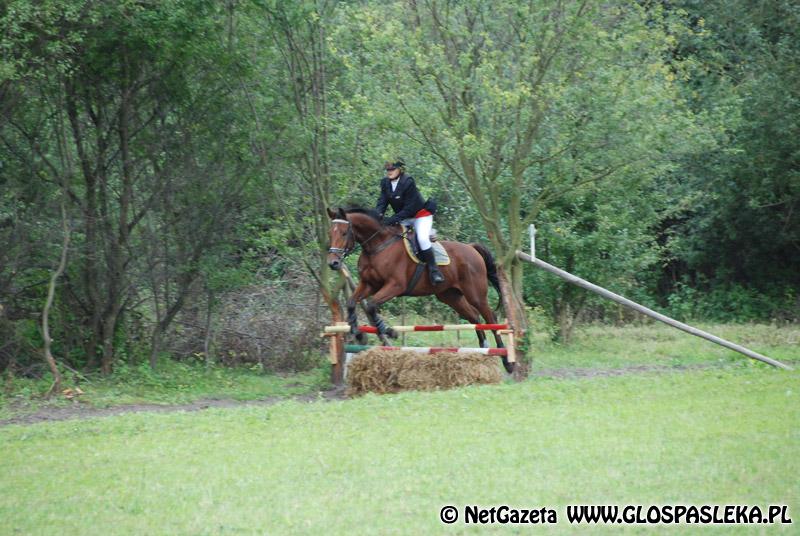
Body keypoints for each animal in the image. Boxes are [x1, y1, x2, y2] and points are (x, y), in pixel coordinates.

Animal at [326, 207, 512, 373]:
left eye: (344, 233)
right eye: (330, 234)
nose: (333, 263)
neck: (377, 246)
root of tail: (472, 248)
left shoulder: (395, 286)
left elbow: (371, 305)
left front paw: (389, 331)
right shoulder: (369, 284)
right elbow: (352, 302)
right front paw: (356, 331)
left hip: (475, 294)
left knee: (490, 317)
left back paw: (506, 360)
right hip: (451, 296)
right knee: (474, 317)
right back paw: (483, 348)